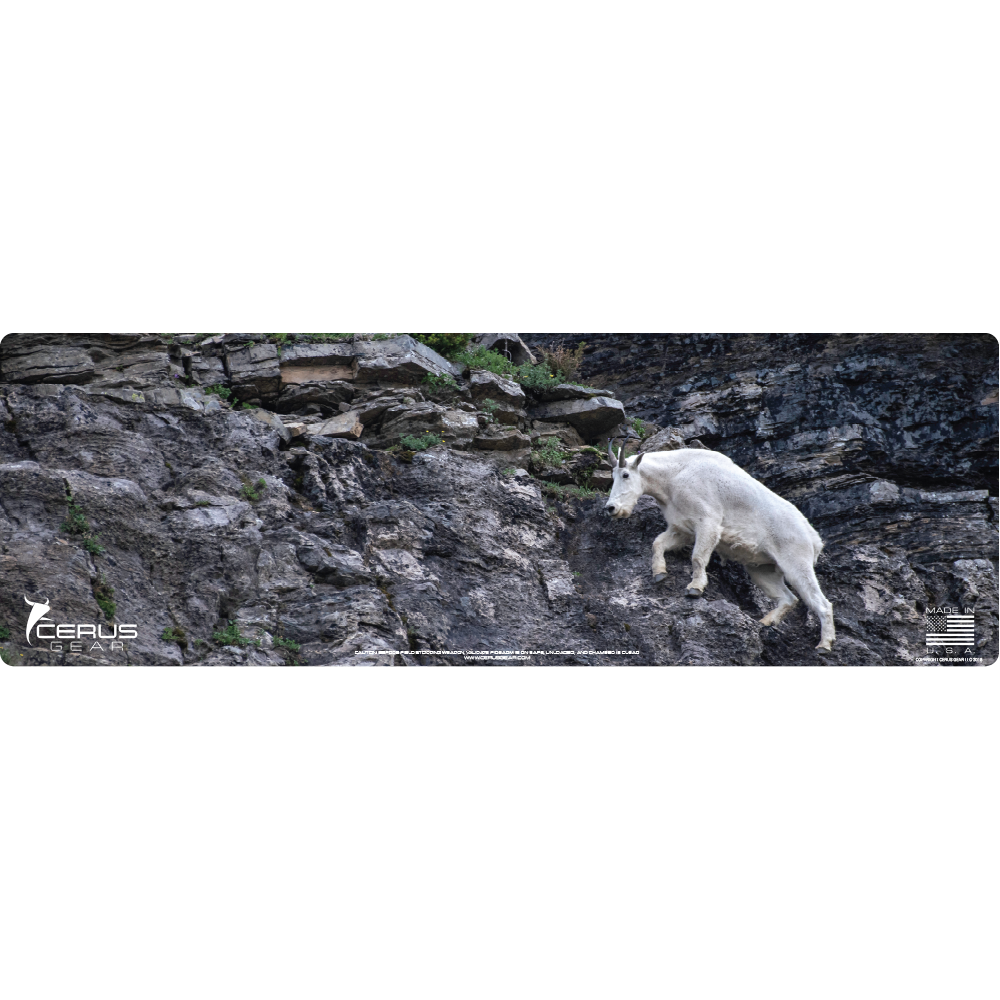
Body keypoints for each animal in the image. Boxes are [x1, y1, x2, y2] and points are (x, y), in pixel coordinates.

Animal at [604, 444, 835, 652]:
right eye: (613, 476)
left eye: (625, 474)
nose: (611, 508)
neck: (673, 475)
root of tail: (814, 538)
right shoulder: (682, 529)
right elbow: (657, 544)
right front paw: (659, 573)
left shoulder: (708, 522)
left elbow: (698, 557)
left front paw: (695, 588)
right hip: (762, 569)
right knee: (788, 598)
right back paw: (766, 622)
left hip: (796, 562)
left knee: (821, 603)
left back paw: (824, 644)